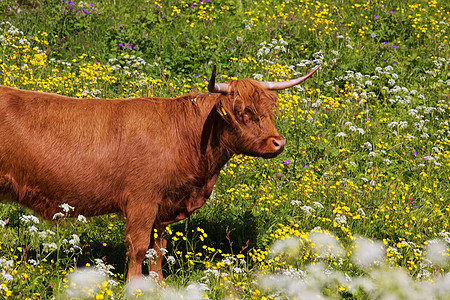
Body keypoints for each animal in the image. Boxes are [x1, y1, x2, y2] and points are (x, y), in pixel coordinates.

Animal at [0, 64, 320, 280]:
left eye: (269, 111)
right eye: (244, 113)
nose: (278, 143)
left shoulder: (164, 206)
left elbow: (159, 248)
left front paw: (158, 284)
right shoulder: (142, 201)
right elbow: (139, 247)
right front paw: (134, 287)